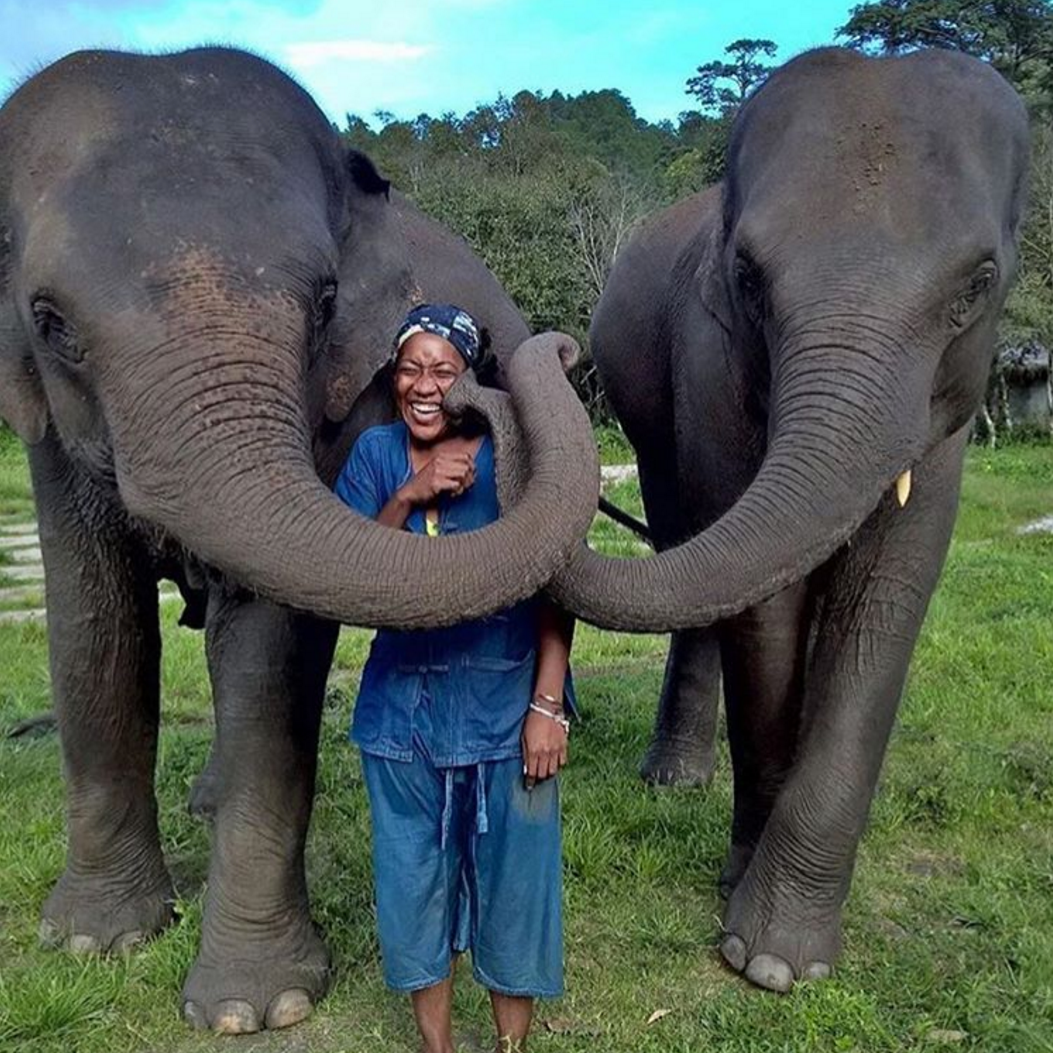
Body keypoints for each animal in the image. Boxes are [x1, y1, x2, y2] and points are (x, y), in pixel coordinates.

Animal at [0, 47, 599, 1033]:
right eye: (49, 323)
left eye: (323, 304)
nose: (542, 355)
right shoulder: (47, 428)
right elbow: (92, 619)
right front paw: (94, 942)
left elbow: (269, 646)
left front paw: (254, 1009)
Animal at [549, 48, 1030, 991]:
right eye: (746, 277)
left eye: (978, 285)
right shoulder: (710, 358)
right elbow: (764, 605)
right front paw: (750, 930)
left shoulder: (947, 417)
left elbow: (887, 593)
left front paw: (782, 962)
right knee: (688, 533)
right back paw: (674, 780)